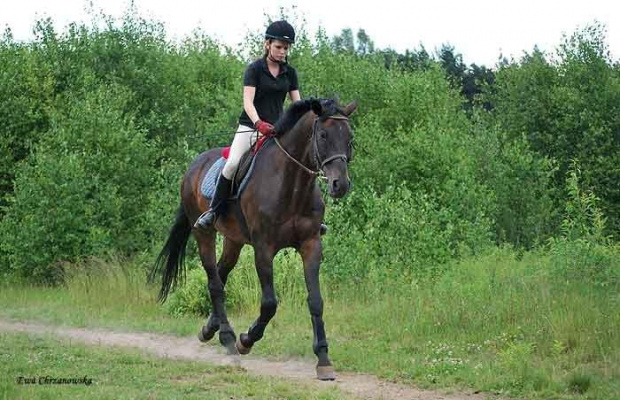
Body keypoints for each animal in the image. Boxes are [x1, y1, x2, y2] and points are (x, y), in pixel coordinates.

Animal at [151, 96, 358, 378]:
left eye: (349, 137)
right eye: (323, 135)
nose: (340, 184)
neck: (292, 185)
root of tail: (195, 165)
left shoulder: (311, 244)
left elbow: (316, 300)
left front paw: (323, 359)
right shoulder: (263, 248)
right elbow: (269, 303)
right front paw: (246, 340)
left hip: (233, 240)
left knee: (221, 273)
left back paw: (209, 329)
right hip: (203, 233)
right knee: (215, 282)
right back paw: (228, 339)